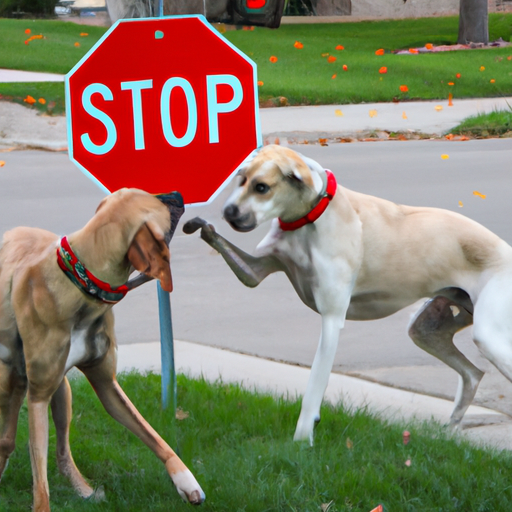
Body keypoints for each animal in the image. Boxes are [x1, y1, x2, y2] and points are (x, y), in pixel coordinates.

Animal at [0, 189, 204, 512]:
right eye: (158, 202)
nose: (177, 193)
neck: (82, 281)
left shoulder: (106, 384)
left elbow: (154, 436)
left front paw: (186, 481)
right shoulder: (37, 396)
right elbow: (39, 478)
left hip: (61, 392)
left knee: (60, 450)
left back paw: (83, 489)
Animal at [185, 143, 512, 444]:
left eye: (261, 187)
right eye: (240, 179)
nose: (228, 212)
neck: (311, 217)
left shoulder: (331, 319)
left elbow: (314, 388)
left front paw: (303, 439)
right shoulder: (256, 272)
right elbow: (230, 254)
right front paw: (200, 225)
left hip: (487, 336)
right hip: (426, 328)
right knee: (473, 373)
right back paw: (450, 427)